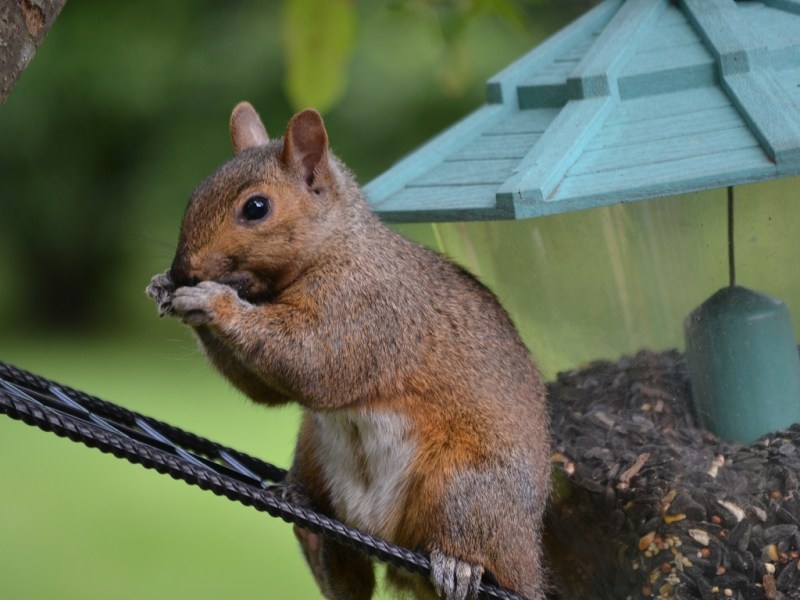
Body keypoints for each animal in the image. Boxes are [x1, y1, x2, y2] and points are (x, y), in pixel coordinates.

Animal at [146, 102, 551, 600]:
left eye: (256, 207)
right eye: (195, 194)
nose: (184, 269)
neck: (335, 249)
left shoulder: (366, 312)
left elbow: (312, 362)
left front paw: (211, 300)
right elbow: (268, 391)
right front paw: (164, 287)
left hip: (467, 488)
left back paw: (459, 564)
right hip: (315, 453)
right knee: (347, 575)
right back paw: (305, 515)